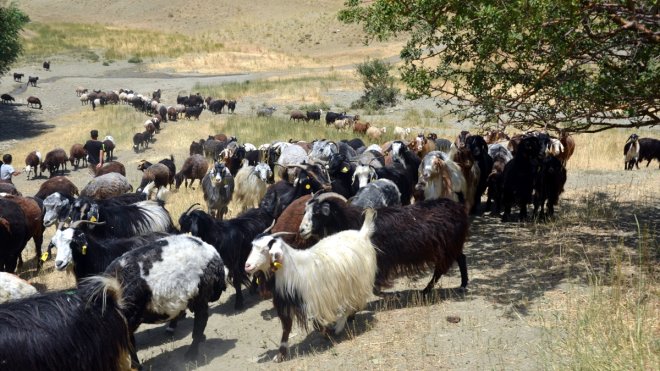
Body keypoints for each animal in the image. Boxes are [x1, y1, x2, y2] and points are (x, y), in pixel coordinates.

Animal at [244, 209, 378, 364]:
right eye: (252, 247)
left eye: (265, 249)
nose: (247, 266)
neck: (292, 271)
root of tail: (362, 233)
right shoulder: (286, 305)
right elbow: (286, 328)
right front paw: (280, 355)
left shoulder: (314, 301)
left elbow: (317, 325)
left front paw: (329, 333)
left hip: (356, 282)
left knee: (352, 302)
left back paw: (340, 325)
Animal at [300, 192, 470, 294]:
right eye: (305, 211)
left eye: (317, 213)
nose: (301, 230)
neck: (353, 221)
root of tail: (459, 206)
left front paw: (378, 290)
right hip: (452, 244)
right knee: (460, 258)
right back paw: (460, 284)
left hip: (449, 246)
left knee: (443, 268)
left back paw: (431, 289)